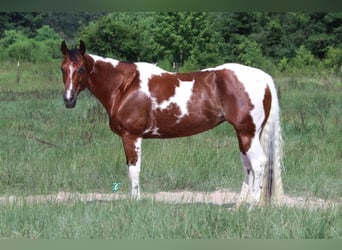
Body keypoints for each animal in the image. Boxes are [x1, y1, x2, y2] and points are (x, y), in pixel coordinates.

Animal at [59, 40, 284, 205]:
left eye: (81, 69)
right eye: (63, 69)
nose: (68, 100)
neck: (125, 87)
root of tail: (262, 77)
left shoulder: (132, 136)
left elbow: (134, 169)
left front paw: (135, 202)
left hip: (247, 133)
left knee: (258, 163)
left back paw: (251, 207)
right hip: (244, 134)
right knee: (247, 165)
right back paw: (239, 205)